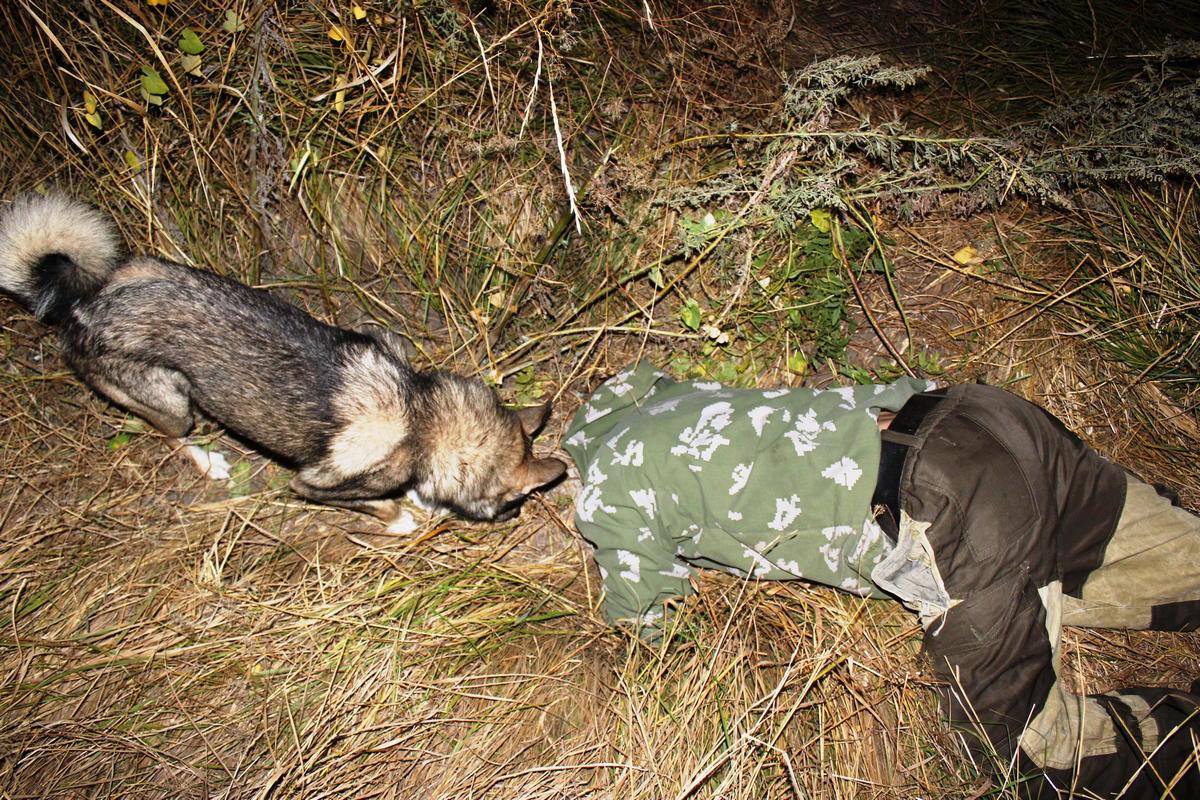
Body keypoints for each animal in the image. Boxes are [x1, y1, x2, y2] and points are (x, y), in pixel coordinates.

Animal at [0, 193, 566, 526]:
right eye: (513, 500)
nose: (515, 519)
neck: (419, 415)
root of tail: (83, 301)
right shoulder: (312, 484)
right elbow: (371, 501)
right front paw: (400, 515)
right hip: (173, 402)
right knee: (172, 435)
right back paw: (209, 460)